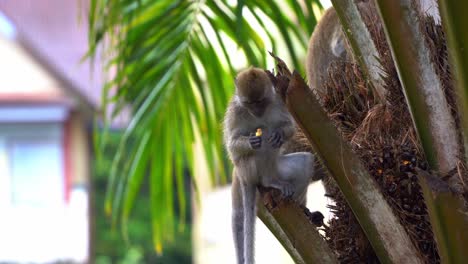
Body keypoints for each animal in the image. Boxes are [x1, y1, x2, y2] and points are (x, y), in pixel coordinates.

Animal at [224, 67, 318, 262]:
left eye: (260, 101)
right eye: (250, 103)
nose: (257, 110)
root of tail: (244, 177)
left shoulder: (278, 101)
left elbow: (289, 127)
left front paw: (281, 134)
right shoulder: (236, 111)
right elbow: (232, 147)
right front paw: (250, 141)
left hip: (279, 168)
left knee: (305, 160)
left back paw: (299, 205)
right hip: (249, 169)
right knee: (264, 135)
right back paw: (268, 181)